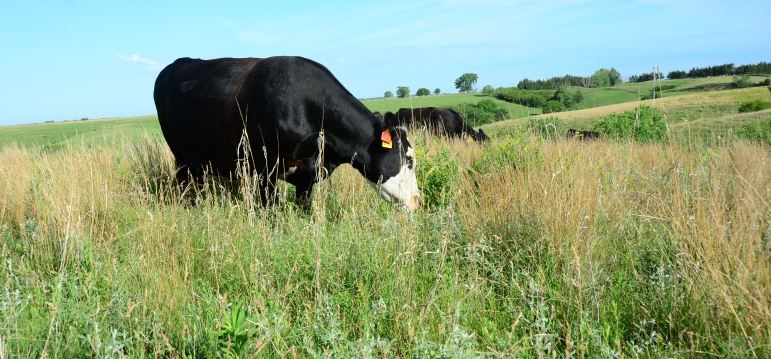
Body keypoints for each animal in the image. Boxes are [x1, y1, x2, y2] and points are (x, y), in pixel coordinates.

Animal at [153, 56, 420, 211]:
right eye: (408, 161)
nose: (418, 200)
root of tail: (179, 62)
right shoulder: (265, 168)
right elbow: (271, 209)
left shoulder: (307, 175)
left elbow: (304, 206)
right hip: (182, 158)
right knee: (187, 185)